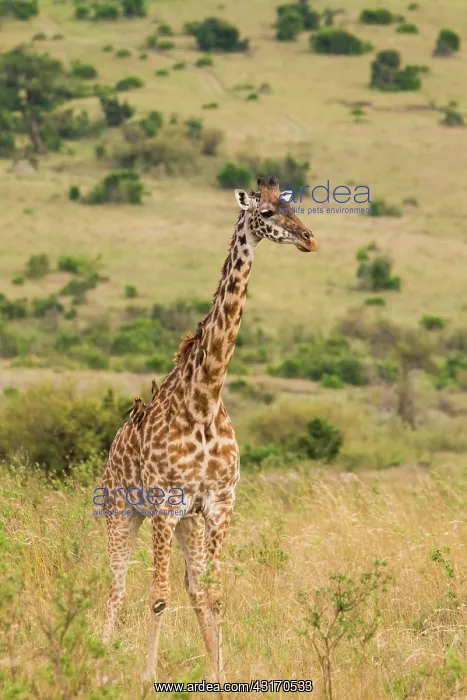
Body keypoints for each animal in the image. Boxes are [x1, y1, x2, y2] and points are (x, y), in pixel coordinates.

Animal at [100, 176, 318, 682]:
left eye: (292, 206)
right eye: (268, 213)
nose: (309, 239)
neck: (203, 400)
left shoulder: (218, 503)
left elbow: (213, 595)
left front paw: (219, 677)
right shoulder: (164, 503)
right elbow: (158, 598)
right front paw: (147, 679)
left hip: (188, 523)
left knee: (193, 587)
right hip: (123, 511)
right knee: (116, 587)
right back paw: (95, 658)